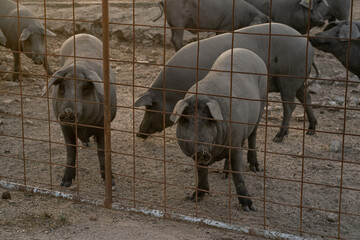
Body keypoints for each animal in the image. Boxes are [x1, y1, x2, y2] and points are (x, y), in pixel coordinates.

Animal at [43, 33, 116, 188]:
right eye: (62, 87)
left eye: (85, 88)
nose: (67, 111)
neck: (83, 125)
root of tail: (83, 34)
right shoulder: (64, 126)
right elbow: (71, 151)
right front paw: (64, 183)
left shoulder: (102, 125)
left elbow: (102, 151)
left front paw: (111, 183)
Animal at [136, 23, 318, 142]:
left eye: (149, 108)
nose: (138, 133)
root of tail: (307, 44)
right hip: (299, 79)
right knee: (306, 98)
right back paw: (311, 130)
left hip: (289, 78)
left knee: (290, 106)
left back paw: (278, 137)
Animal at [169, 47, 268, 211]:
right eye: (186, 120)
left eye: (209, 120)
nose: (200, 150)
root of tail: (248, 51)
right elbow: (201, 172)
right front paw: (194, 198)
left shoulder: (235, 145)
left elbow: (238, 174)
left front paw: (249, 207)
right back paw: (224, 174)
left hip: (262, 105)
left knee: (253, 136)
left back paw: (255, 168)